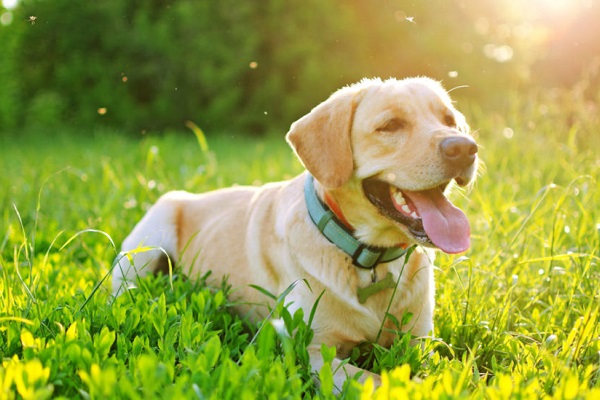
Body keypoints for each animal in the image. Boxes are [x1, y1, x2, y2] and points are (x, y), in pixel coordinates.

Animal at [111, 77, 478, 390]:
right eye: (390, 126)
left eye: (449, 119)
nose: (465, 147)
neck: (370, 261)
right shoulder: (313, 351)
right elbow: (378, 380)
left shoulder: (420, 342)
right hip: (147, 243)